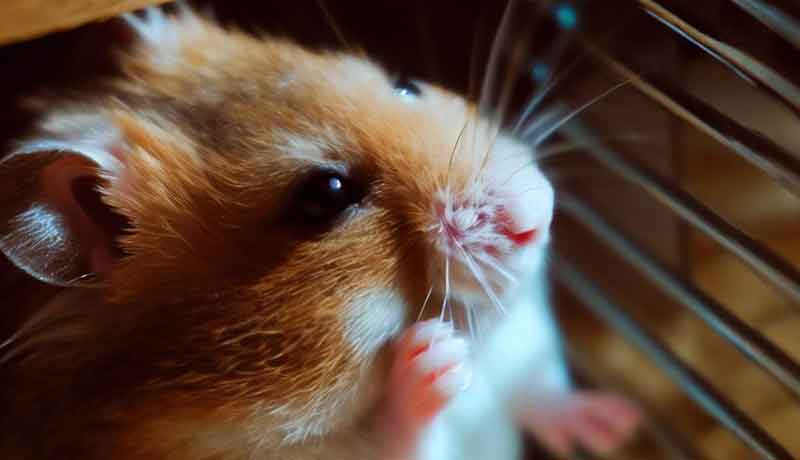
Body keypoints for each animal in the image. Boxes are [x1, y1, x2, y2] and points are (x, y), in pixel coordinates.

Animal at [0, 4, 640, 460]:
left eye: (406, 84)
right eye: (325, 195)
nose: (539, 213)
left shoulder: (520, 343)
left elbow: (539, 381)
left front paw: (617, 423)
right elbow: (400, 441)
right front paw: (433, 361)